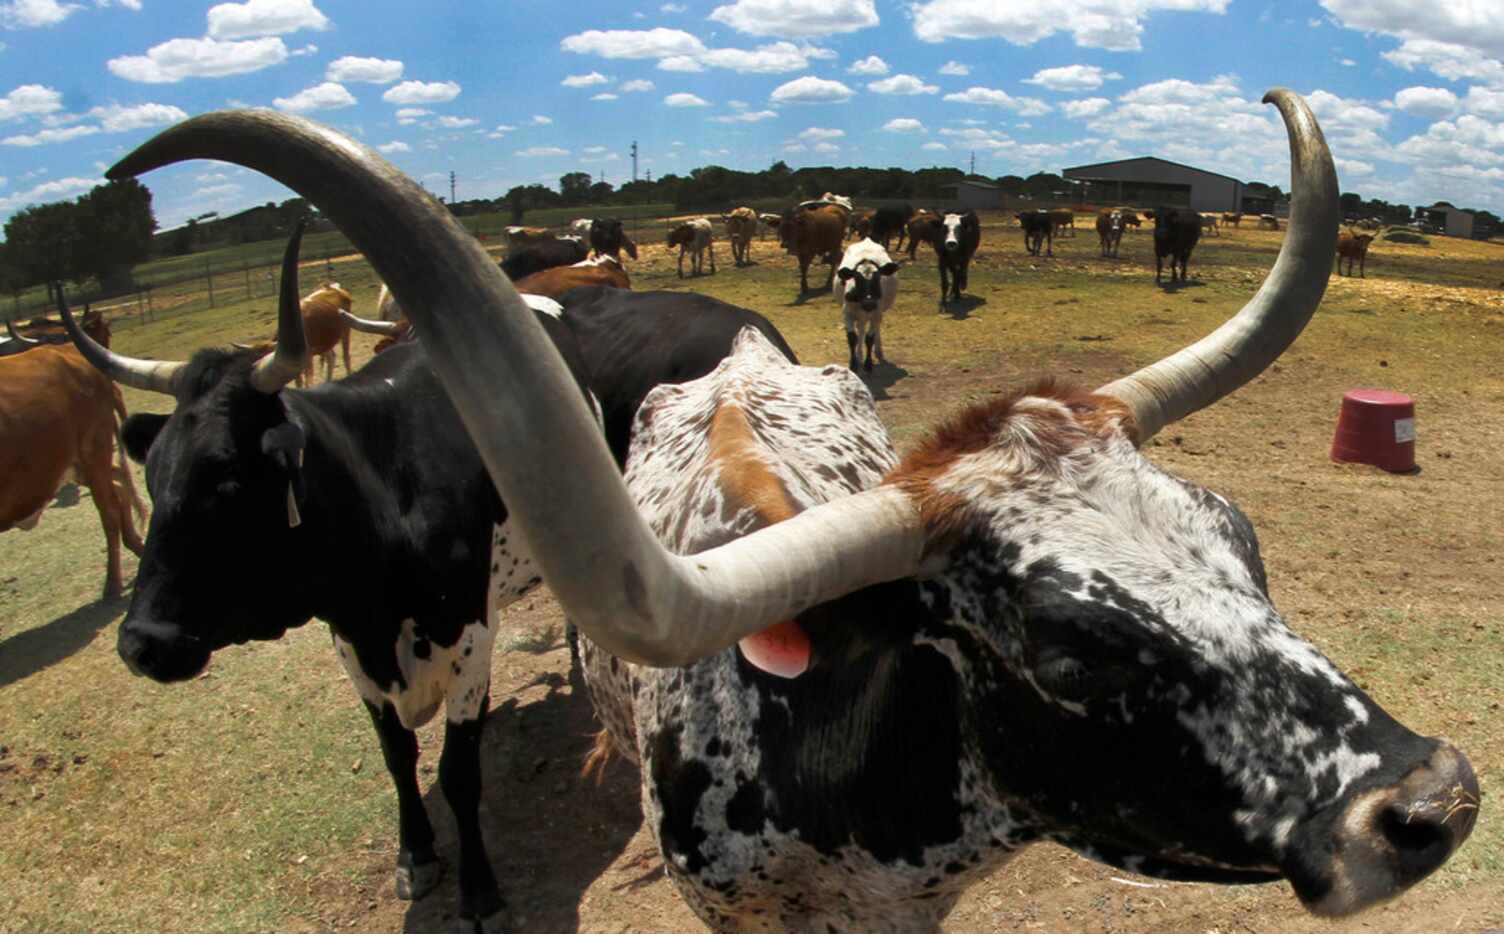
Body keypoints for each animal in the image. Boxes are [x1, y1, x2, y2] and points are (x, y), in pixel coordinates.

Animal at [66, 213, 800, 932]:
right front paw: (415, 854)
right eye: (154, 476)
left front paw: (477, 887)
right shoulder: (352, 643)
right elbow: (397, 755)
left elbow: (457, 771)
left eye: (227, 480)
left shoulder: (469, 639)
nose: (142, 644)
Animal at [830, 236, 896, 371]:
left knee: (873, 329)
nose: (869, 302)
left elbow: (869, 338)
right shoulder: (847, 313)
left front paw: (868, 364)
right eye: (857, 278)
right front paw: (853, 363)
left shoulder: (876, 313)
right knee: (860, 330)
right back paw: (859, 354)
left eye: (878, 278)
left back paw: (878, 351)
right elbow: (852, 337)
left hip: (875, 314)